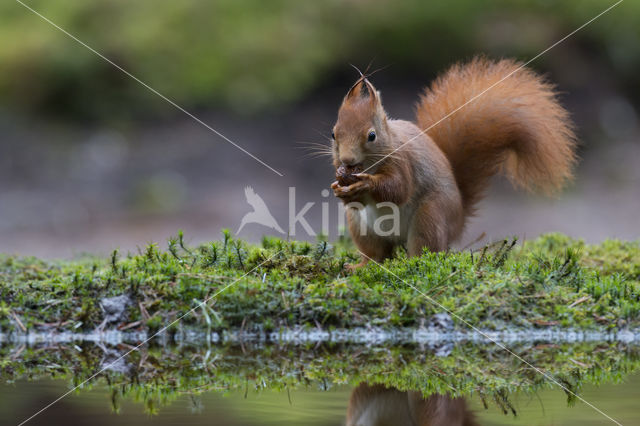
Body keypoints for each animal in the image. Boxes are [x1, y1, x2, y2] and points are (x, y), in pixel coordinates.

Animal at [332, 57, 576, 268]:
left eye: (372, 136)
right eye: (334, 133)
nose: (347, 159)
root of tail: (458, 220)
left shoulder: (403, 163)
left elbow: (398, 189)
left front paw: (366, 183)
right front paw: (339, 187)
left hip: (430, 217)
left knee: (424, 251)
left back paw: (413, 265)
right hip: (360, 226)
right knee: (377, 255)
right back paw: (359, 266)